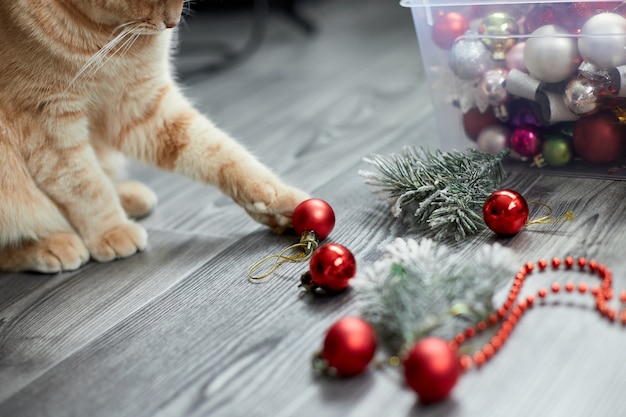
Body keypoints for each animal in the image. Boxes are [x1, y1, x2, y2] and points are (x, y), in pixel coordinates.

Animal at [0, 0, 308, 272]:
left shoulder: (142, 106)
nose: (172, 23)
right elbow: (84, 184)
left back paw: (127, 195)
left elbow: (221, 153)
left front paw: (278, 199)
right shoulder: (48, 121)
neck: (107, 36)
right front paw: (112, 230)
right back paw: (53, 245)